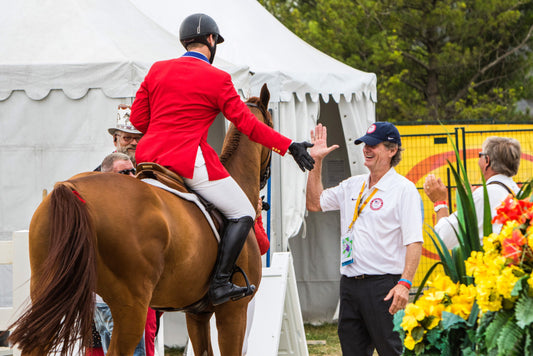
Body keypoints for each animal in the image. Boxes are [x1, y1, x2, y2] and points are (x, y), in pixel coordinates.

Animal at [8, 85, 274, 354]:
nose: (265, 182)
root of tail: (70, 187)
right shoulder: (233, 310)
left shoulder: (196, 314)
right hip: (131, 307)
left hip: (49, 290)